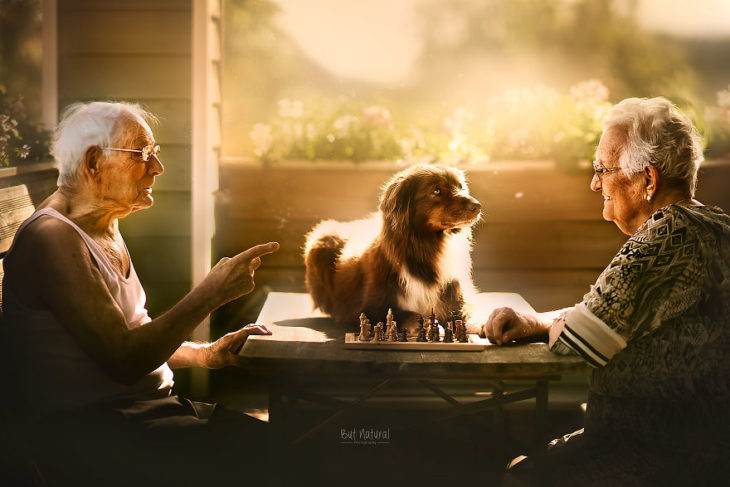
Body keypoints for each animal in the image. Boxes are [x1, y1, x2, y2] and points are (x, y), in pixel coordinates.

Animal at [302, 166, 480, 334]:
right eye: (436, 191)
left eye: (461, 186)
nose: (477, 206)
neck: (426, 245)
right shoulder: (372, 308)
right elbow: (409, 314)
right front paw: (430, 325)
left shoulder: (456, 293)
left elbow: (467, 310)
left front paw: (477, 323)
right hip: (321, 240)